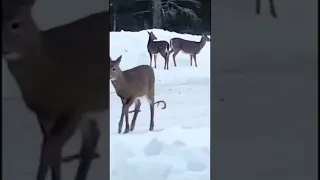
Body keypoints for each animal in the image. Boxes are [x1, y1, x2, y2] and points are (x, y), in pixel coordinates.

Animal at [1, 0, 110, 180]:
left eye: (15, 24)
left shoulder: (75, 105)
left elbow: (51, 148)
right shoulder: (45, 115)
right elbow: (50, 150)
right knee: (91, 138)